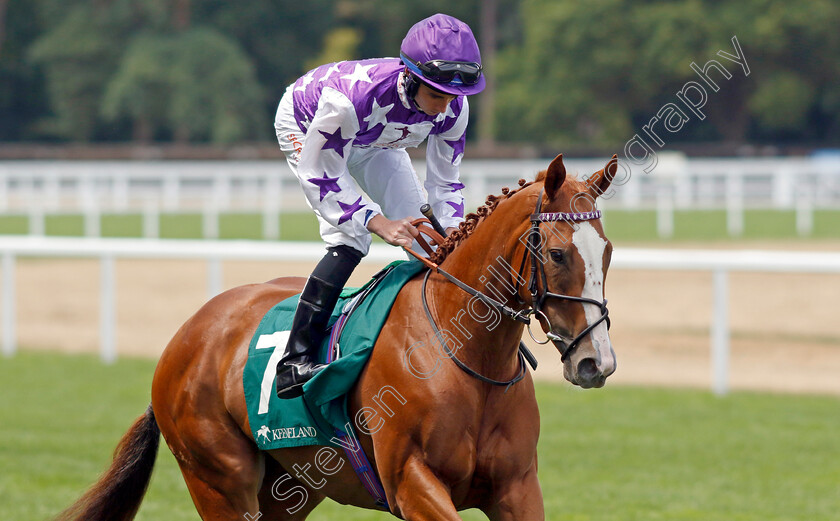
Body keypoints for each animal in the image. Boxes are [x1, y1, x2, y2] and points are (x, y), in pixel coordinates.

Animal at [54, 154, 616, 520]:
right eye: (558, 253)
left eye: (608, 251)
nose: (597, 362)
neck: (463, 355)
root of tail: (182, 339)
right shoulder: (411, 482)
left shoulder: (516, 488)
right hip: (219, 480)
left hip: (289, 490)